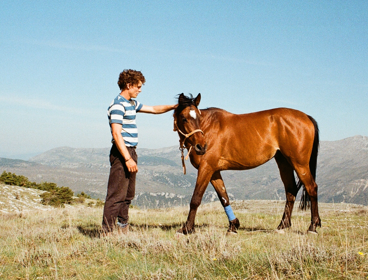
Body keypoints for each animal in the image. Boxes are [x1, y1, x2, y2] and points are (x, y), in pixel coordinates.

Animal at [174, 93, 320, 234]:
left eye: (199, 118)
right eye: (184, 118)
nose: (201, 147)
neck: (209, 127)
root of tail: (306, 117)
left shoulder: (206, 168)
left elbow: (195, 199)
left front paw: (187, 228)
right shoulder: (214, 171)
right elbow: (224, 198)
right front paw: (233, 225)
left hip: (300, 164)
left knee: (311, 188)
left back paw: (312, 227)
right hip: (284, 162)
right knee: (290, 191)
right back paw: (282, 226)